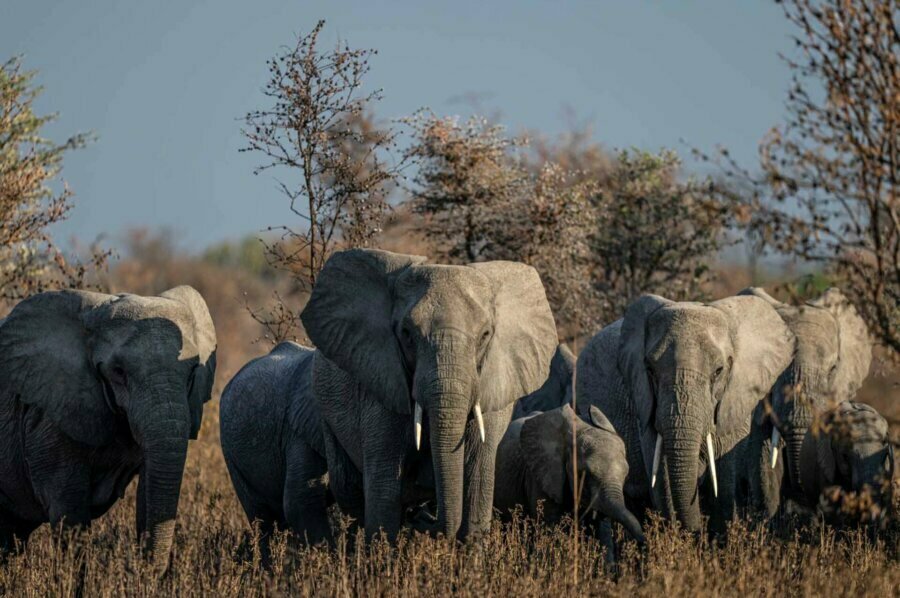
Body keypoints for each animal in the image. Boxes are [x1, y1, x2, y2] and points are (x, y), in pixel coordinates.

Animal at [0, 287, 217, 570]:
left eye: (192, 372)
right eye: (118, 371)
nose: (144, 572)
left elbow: (147, 495)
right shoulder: (48, 421)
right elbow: (69, 513)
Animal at [300, 249, 558, 541]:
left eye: (485, 335)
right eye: (407, 334)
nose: (423, 519)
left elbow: (477, 486)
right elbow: (383, 489)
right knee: (351, 493)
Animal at [493, 404, 645, 554]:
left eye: (625, 475)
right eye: (585, 474)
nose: (643, 543)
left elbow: (602, 534)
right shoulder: (541, 477)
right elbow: (551, 531)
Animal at [576, 293, 794, 533]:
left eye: (718, 371)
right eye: (650, 370)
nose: (696, 528)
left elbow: (725, 484)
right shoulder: (646, 407)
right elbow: (662, 482)